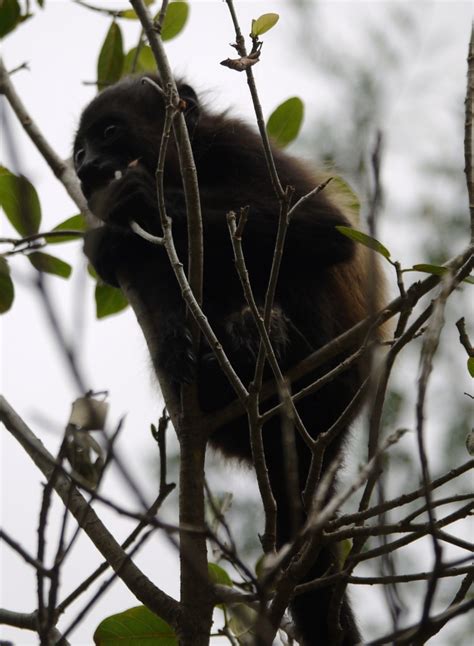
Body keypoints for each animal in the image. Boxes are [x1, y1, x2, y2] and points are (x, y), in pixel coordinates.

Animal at [74, 74, 386, 644]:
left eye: (108, 131)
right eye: (78, 149)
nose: (85, 165)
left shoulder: (242, 146)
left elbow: (327, 231)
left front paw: (144, 199)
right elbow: (139, 267)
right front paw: (113, 246)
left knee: (298, 266)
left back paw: (263, 341)